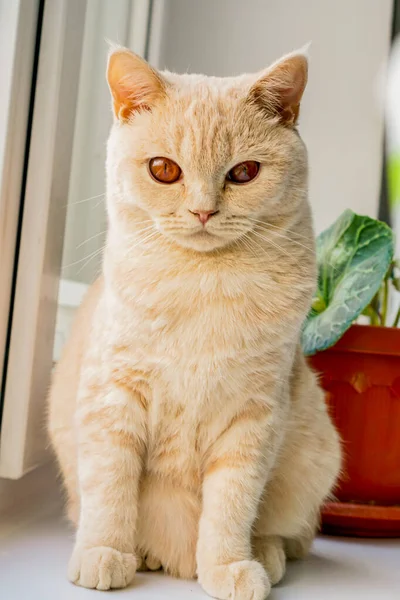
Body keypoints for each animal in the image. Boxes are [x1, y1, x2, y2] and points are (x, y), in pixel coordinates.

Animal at [47, 48, 340, 600]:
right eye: (164, 170)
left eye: (244, 172)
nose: (204, 211)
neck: (202, 285)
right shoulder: (112, 399)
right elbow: (110, 487)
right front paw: (105, 552)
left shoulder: (254, 418)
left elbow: (231, 503)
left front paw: (227, 566)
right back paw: (145, 555)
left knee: (287, 532)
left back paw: (264, 554)